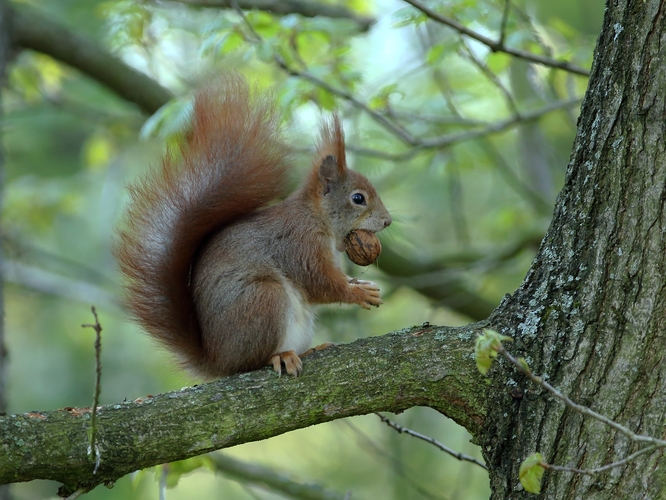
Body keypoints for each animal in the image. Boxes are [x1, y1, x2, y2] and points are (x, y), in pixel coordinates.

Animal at [115, 74, 392, 378]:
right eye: (358, 198)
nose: (388, 221)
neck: (318, 219)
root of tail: (217, 359)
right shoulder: (299, 244)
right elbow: (319, 282)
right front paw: (358, 292)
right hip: (264, 298)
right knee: (250, 362)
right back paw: (281, 356)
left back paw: (309, 350)